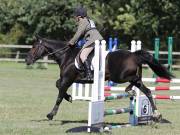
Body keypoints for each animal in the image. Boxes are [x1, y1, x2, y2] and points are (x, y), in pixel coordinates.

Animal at [25, 35, 173, 121]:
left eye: (34, 47)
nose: (27, 60)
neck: (66, 55)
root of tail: (134, 55)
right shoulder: (71, 80)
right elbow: (58, 85)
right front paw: (70, 97)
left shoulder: (67, 79)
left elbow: (59, 96)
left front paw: (51, 114)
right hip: (130, 78)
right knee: (147, 91)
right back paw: (156, 114)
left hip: (120, 76)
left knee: (135, 81)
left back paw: (129, 90)